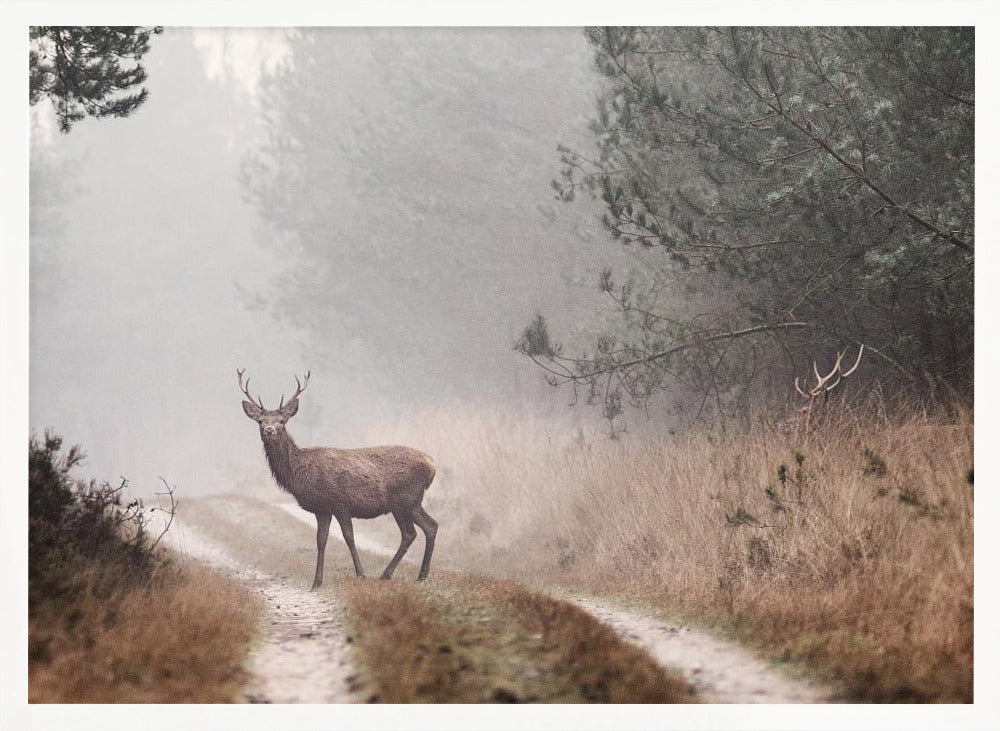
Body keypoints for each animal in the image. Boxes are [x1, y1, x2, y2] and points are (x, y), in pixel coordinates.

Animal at [237, 369, 438, 588]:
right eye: (260, 421)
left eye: (282, 421)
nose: (269, 430)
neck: (299, 475)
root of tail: (432, 465)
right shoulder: (322, 508)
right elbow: (321, 541)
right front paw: (316, 582)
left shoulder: (340, 503)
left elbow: (348, 537)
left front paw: (361, 574)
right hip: (414, 501)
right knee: (431, 526)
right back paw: (421, 575)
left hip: (402, 500)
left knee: (410, 533)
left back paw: (387, 574)